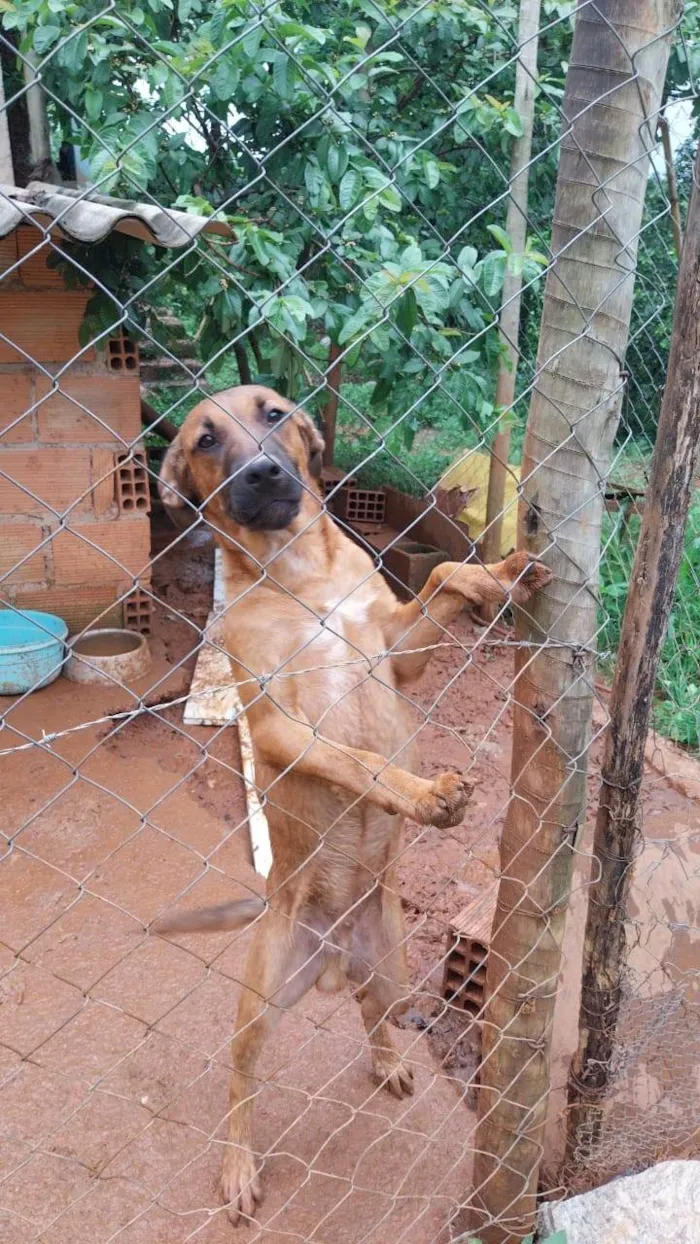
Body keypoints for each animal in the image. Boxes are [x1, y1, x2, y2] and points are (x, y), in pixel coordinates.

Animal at [154, 385, 554, 1224]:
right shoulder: (276, 726)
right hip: (259, 999)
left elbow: (446, 579)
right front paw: (425, 795)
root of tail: (335, 956)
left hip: (394, 968)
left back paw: (389, 1057)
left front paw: (501, 574)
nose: (265, 474)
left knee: (376, 1011)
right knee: (240, 1077)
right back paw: (238, 1165)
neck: (298, 575)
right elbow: (360, 763)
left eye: (272, 413)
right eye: (206, 440)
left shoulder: (399, 650)